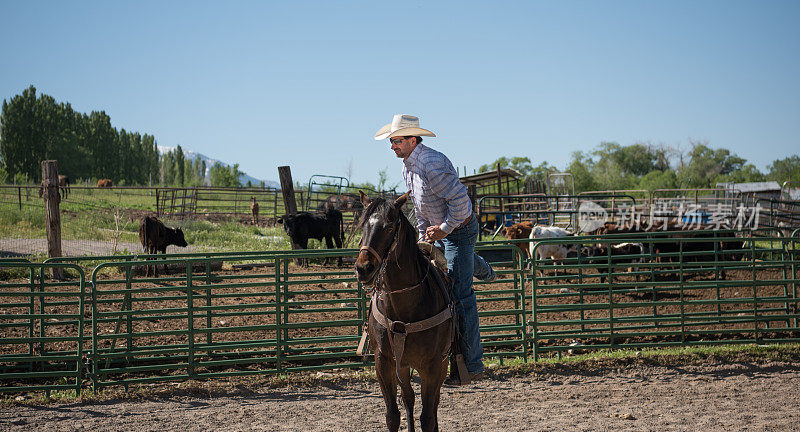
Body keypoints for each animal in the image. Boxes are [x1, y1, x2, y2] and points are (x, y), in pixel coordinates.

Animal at [354, 191, 450, 432]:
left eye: (389, 227)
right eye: (363, 226)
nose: (363, 268)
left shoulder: (433, 364)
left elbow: (428, 417)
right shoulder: (384, 361)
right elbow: (393, 415)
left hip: (440, 363)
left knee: (433, 403)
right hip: (403, 365)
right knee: (408, 398)